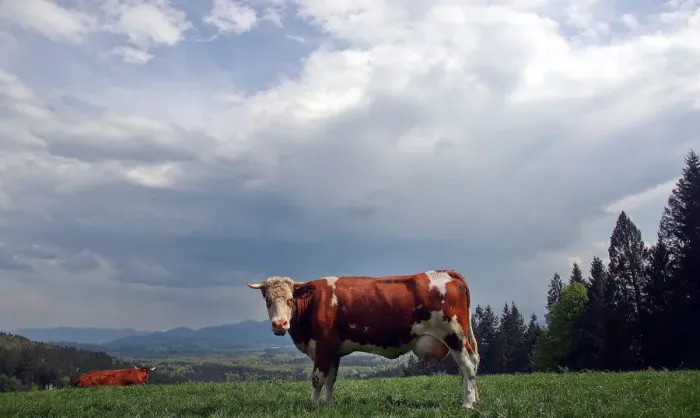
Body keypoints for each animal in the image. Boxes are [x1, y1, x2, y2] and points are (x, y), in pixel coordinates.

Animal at [247, 269, 480, 409]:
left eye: (290, 299)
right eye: (267, 300)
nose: (279, 324)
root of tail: (445, 273)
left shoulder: (322, 346)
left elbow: (317, 378)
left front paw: (313, 406)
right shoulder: (334, 350)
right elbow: (331, 379)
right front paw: (327, 405)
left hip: (454, 335)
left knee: (467, 366)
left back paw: (467, 404)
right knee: (472, 364)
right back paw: (476, 399)